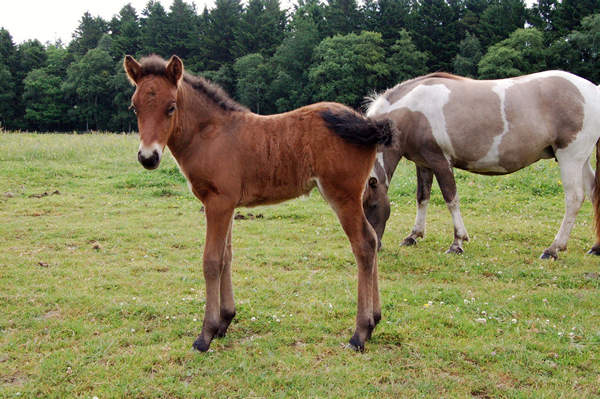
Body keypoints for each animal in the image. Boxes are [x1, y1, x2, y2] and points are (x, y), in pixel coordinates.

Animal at [124, 54, 392, 352]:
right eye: (134, 107)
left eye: (171, 107)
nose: (148, 157)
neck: (211, 135)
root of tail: (366, 124)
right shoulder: (226, 205)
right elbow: (226, 256)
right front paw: (225, 321)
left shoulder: (217, 203)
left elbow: (211, 261)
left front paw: (205, 335)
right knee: (372, 240)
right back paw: (375, 320)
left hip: (343, 196)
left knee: (364, 244)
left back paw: (360, 332)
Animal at [364, 71, 600, 260]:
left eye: (372, 206)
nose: (374, 247)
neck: (413, 111)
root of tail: (592, 91)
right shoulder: (424, 164)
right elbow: (422, 198)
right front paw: (414, 236)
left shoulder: (441, 162)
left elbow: (451, 199)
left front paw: (457, 242)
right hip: (581, 160)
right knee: (593, 192)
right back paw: (595, 247)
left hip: (570, 158)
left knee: (574, 198)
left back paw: (553, 248)